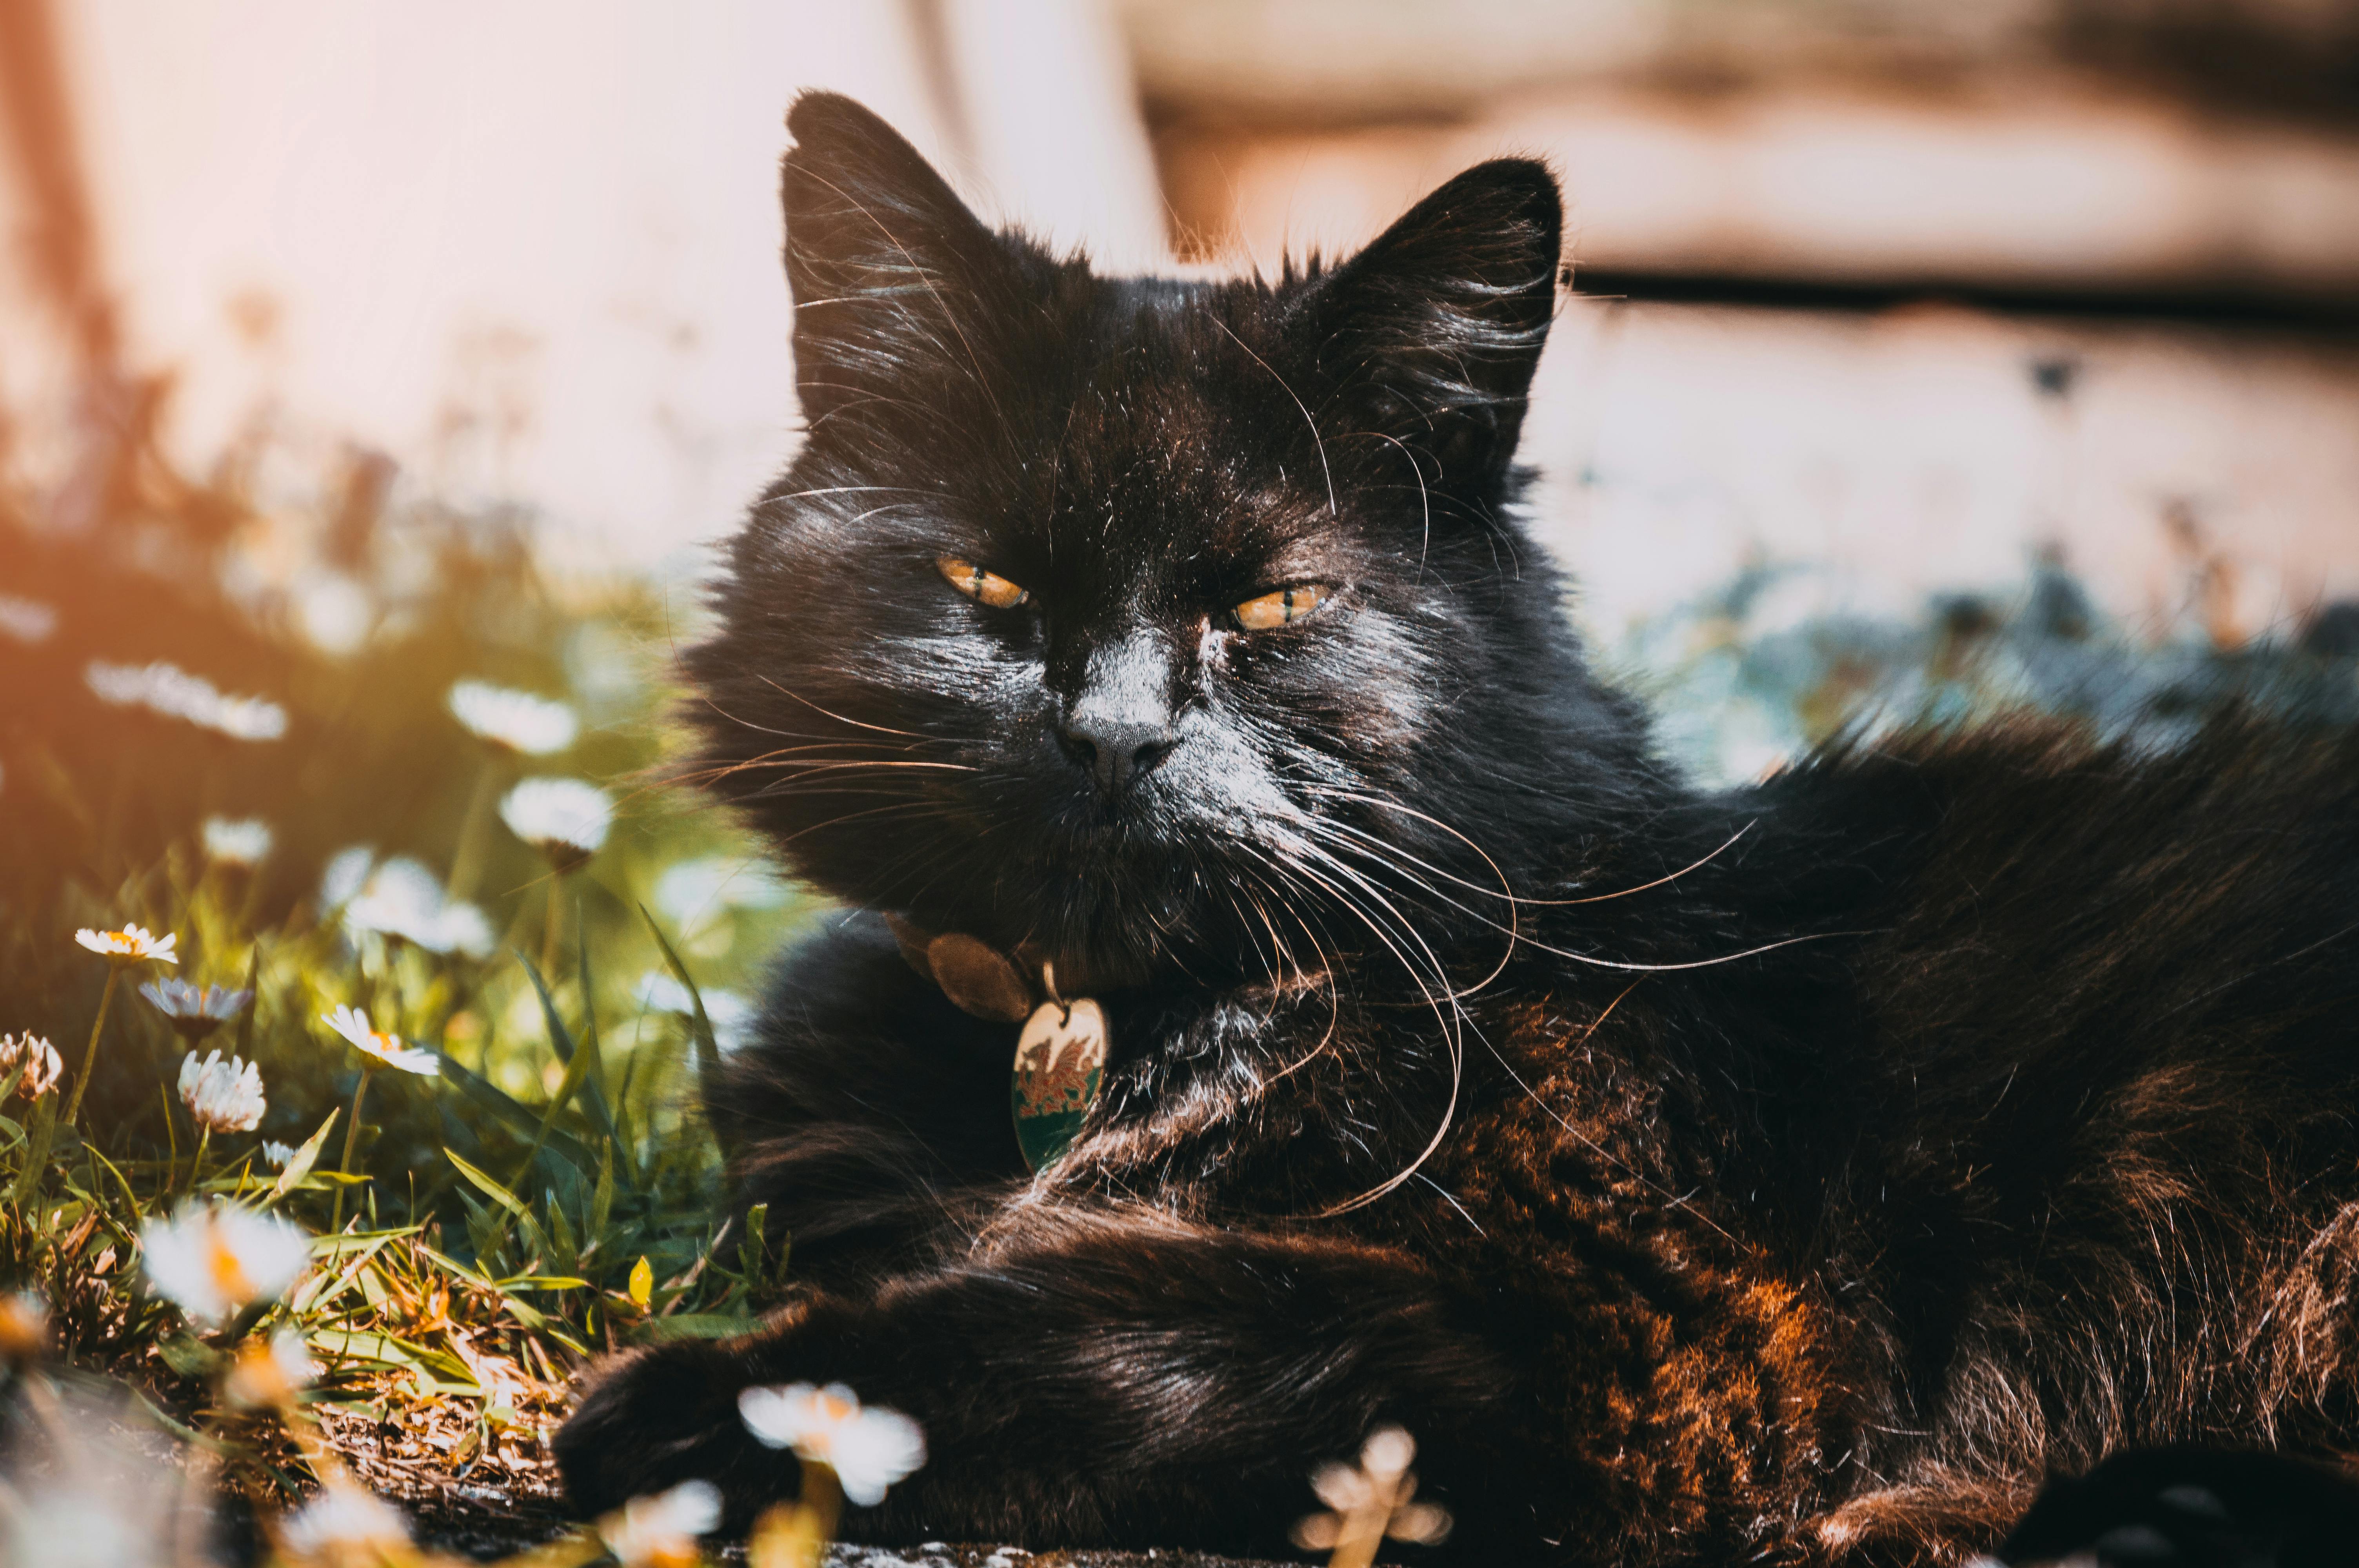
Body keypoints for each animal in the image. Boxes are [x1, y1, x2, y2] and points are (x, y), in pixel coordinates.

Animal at [547, 92, 2359, 1556]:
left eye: (1271, 604)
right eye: (987, 587)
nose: (1112, 732)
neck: (1130, 1030)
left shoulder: (1668, 1332)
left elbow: (1110, 1314)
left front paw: (699, 1409)